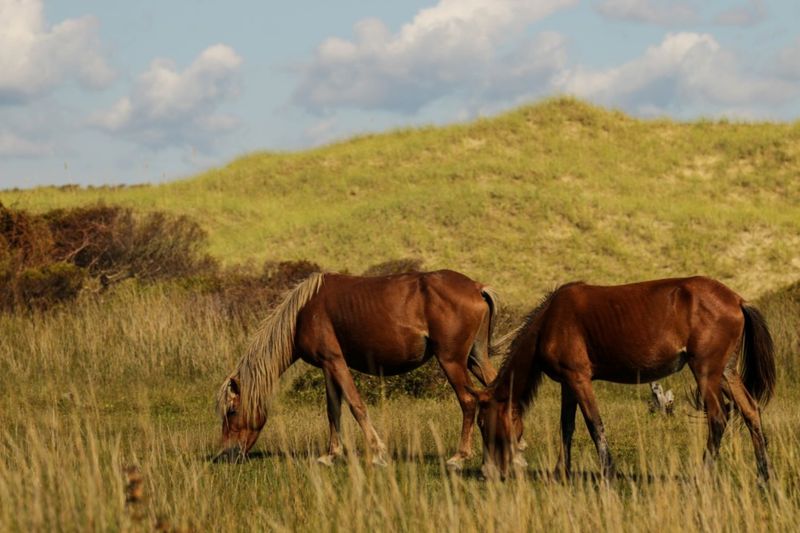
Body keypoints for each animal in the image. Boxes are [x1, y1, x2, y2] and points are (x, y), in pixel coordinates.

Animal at [212, 268, 500, 468]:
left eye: (232, 411)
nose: (226, 454)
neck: (303, 313)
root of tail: (477, 288)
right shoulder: (327, 368)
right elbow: (333, 410)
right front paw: (330, 455)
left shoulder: (335, 362)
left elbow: (356, 406)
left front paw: (378, 453)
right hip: (476, 359)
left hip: (452, 361)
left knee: (468, 401)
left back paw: (459, 457)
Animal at [468, 276, 776, 480]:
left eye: (483, 423)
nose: (486, 472)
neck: (550, 322)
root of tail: (737, 300)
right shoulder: (568, 384)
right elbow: (566, 427)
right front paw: (560, 472)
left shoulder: (579, 379)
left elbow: (594, 424)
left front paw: (608, 472)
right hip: (726, 373)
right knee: (751, 412)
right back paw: (764, 474)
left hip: (706, 372)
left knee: (718, 418)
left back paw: (702, 473)